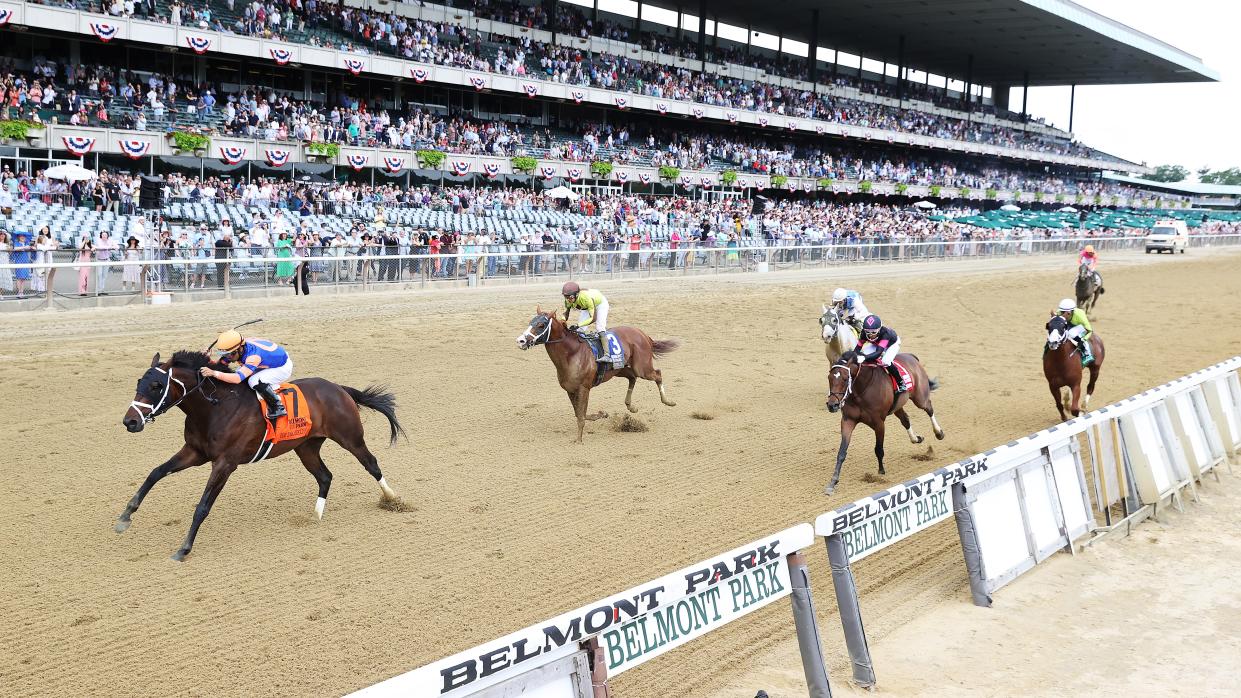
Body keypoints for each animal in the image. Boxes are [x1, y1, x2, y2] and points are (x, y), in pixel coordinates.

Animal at [119, 350, 404, 556]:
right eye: (139, 382)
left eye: (157, 385)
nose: (130, 422)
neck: (215, 408)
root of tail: (339, 388)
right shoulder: (195, 452)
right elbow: (155, 473)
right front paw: (124, 517)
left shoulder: (225, 463)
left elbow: (203, 506)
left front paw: (184, 548)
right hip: (306, 446)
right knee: (325, 476)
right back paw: (315, 515)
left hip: (350, 438)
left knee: (371, 464)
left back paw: (393, 500)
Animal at [518, 308, 685, 439]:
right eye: (530, 322)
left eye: (541, 325)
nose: (520, 341)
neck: (572, 353)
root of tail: (643, 334)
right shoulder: (570, 390)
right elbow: (580, 414)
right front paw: (601, 414)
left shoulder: (584, 388)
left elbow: (581, 416)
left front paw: (578, 440)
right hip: (620, 369)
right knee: (632, 377)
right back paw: (631, 407)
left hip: (642, 367)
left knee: (657, 374)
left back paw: (668, 401)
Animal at [824, 350, 938, 491]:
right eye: (829, 378)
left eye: (845, 379)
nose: (832, 405)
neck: (861, 390)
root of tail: (911, 356)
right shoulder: (848, 420)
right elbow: (841, 452)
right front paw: (833, 482)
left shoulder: (879, 423)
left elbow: (878, 449)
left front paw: (881, 471)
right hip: (898, 406)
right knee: (905, 419)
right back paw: (916, 438)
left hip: (920, 398)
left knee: (929, 409)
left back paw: (939, 433)